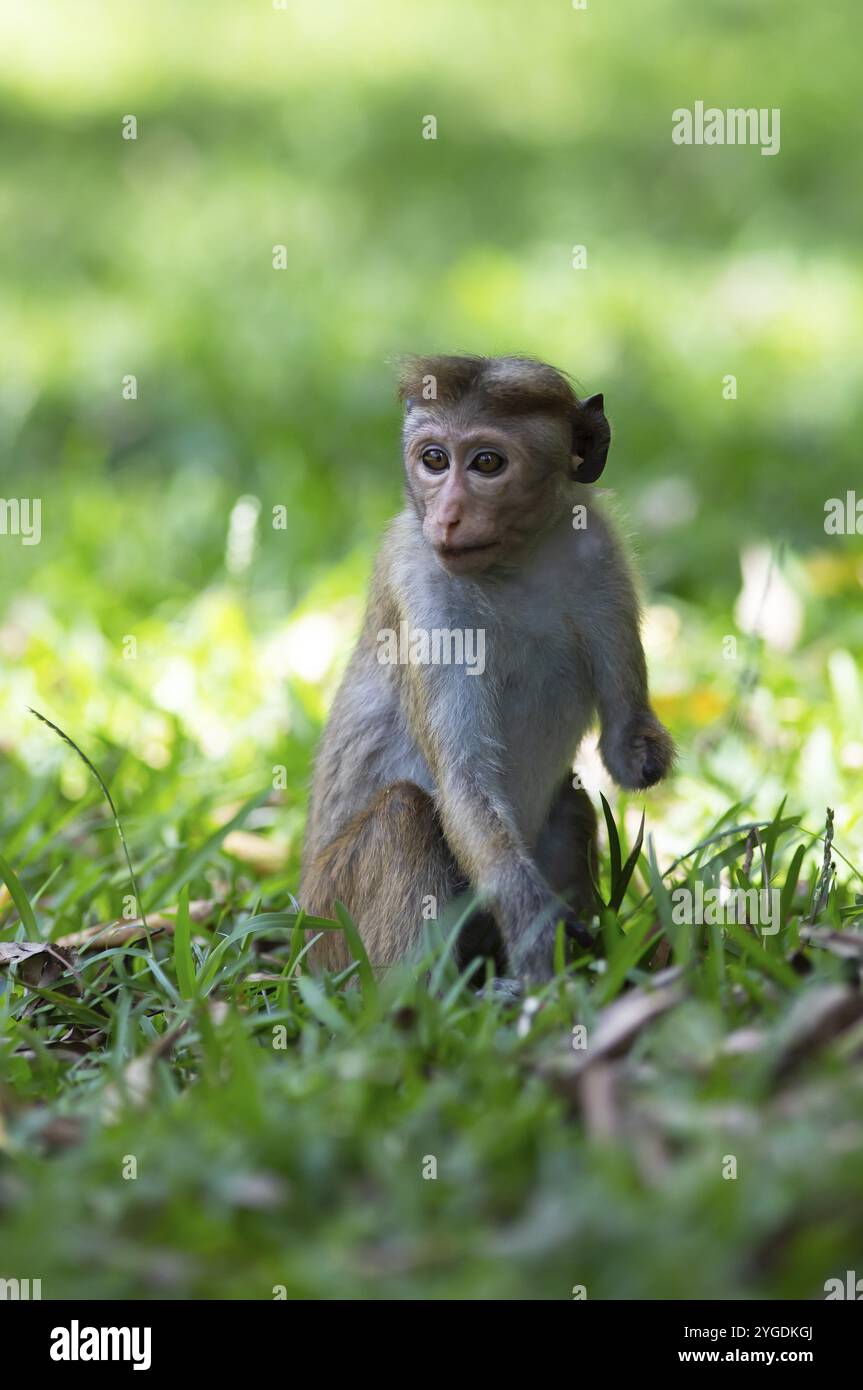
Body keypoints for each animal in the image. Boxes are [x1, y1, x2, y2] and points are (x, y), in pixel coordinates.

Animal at [300, 358, 675, 989]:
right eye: (434, 459)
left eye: (487, 464)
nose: (449, 516)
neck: (514, 566)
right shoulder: (423, 590)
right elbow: (462, 779)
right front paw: (538, 939)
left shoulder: (600, 554)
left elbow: (623, 740)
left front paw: (643, 754)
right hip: (329, 924)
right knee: (404, 814)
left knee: (571, 802)